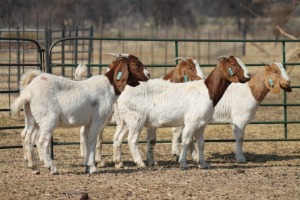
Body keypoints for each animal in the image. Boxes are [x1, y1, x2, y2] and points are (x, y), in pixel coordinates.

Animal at [11, 54, 150, 174]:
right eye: (135, 64)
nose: (148, 75)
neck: (109, 86)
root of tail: (29, 92)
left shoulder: (88, 122)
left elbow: (87, 140)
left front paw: (87, 165)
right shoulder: (97, 120)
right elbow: (92, 140)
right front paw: (93, 167)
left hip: (32, 118)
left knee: (27, 138)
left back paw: (34, 167)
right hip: (48, 119)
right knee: (42, 141)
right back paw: (52, 168)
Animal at [113, 55, 251, 169]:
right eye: (233, 64)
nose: (248, 75)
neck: (207, 91)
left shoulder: (201, 124)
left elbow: (201, 143)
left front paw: (203, 163)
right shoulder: (191, 121)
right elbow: (186, 140)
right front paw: (183, 163)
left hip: (126, 120)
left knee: (118, 138)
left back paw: (119, 163)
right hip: (136, 119)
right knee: (131, 140)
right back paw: (140, 163)